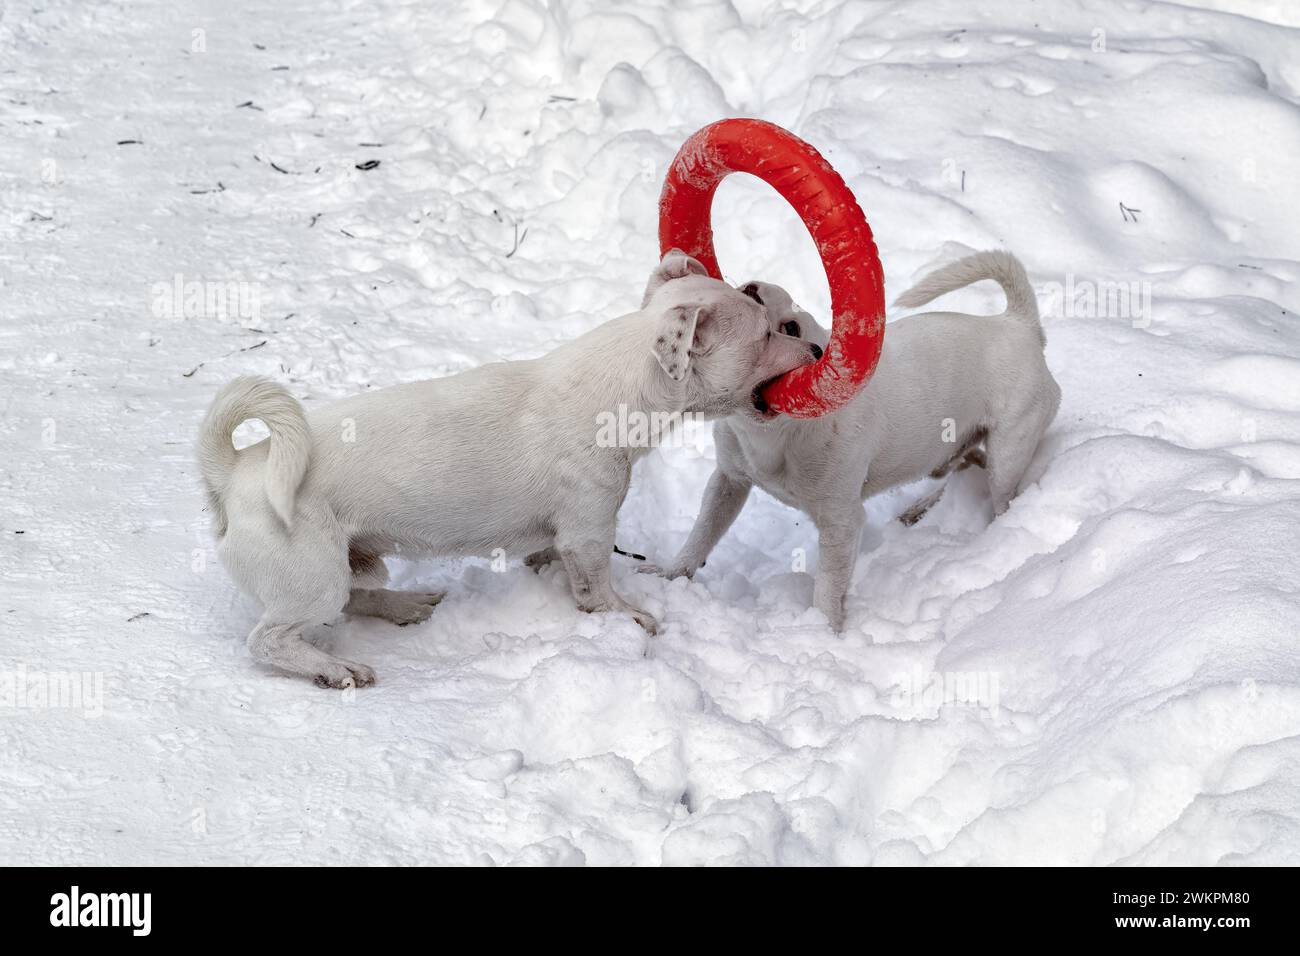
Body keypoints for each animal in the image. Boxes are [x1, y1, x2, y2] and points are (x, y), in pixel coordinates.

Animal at [197, 254, 816, 686]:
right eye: (767, 333)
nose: (813, 351)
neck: (620, 388)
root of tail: (234, 470)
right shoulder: (590, 529)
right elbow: (599, 590)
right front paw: (628, 617)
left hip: (350, 564)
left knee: (359, 596)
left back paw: (407, 605)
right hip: (312, 577)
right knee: (269, 639)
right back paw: (335, 669)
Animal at [644, 251, 1060, 632]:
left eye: (791, 327)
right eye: (748, 291)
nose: (754, 288)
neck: (772, 433)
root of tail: (1017, 323)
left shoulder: (841, 524)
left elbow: (829, 587)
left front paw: (822, 633)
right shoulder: (729, 482)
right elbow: (703, 533)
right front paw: (670, 575)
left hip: (1009, 452)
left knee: (1000, 492)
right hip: (955, 450)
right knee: (965, 464)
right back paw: (920, 509)